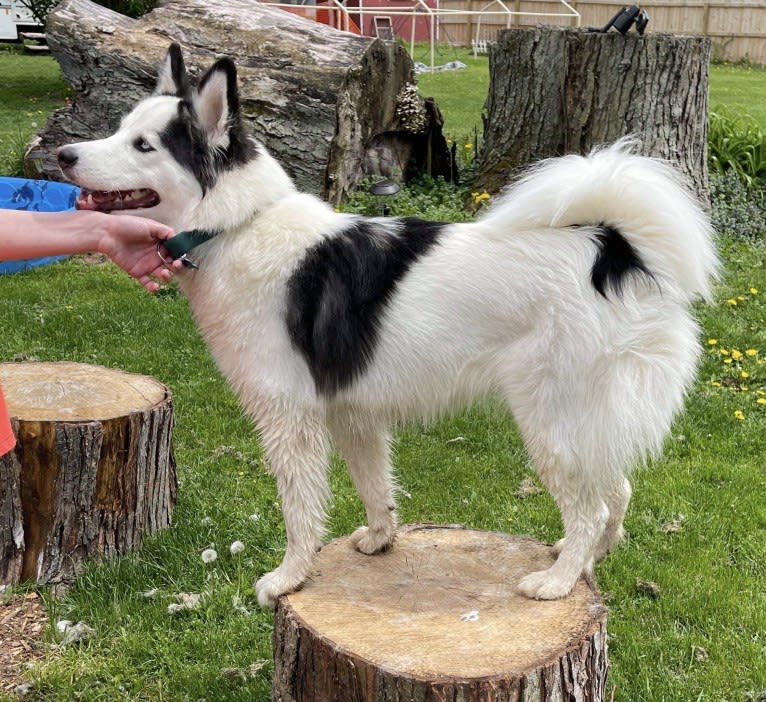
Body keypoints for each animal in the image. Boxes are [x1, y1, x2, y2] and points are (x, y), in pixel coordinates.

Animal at [58, 44, 720, 608]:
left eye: (144, 145)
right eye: (120, 129)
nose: (64, 155)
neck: (239, 224)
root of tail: (613, 249)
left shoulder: (290, 418)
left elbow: (300, 509)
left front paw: (289, 577)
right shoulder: (353, 412)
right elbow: (376, 488)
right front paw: (381, 540)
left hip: (550, 419)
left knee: (590, 506)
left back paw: (557, 581)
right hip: (582, 421)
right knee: (616, 492)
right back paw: (581, 563)